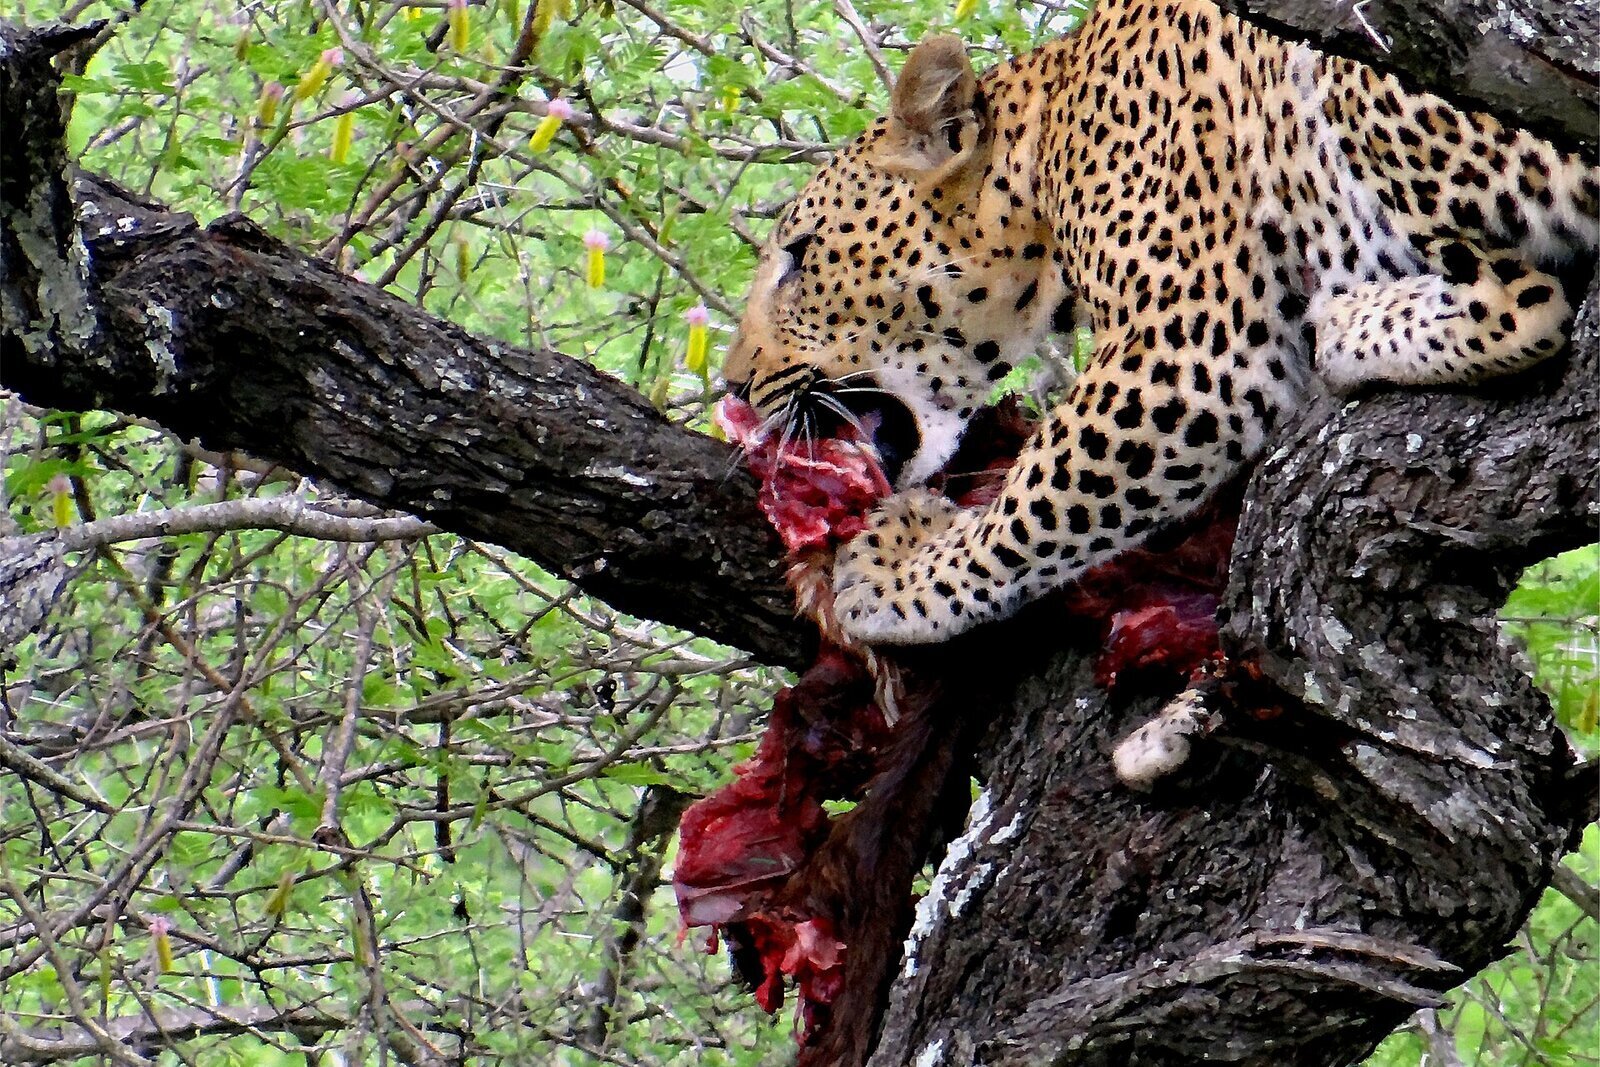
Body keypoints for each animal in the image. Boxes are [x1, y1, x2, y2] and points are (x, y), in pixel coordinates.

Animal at [722, 0, 1600, 648]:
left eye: (799, 255)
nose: (733, 387)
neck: (1044, 152)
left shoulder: (1188, 342)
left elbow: (1033, 504)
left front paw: (896, 575)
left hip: (1368, 75)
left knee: (1528, 301)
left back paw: (1348, 323)